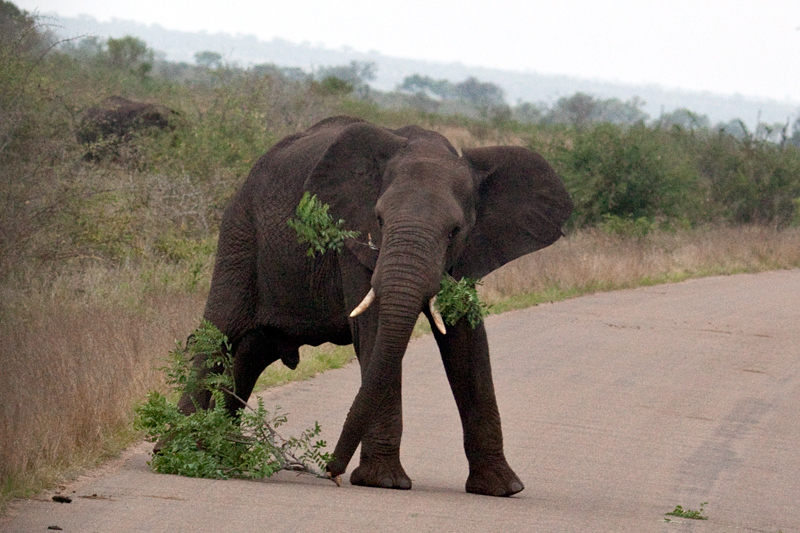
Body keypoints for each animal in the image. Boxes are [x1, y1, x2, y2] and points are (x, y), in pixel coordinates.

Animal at [177, 115, 572, 494]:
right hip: (240, 231)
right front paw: (383, 482)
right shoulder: (351, 240)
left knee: (251, 352)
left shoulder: (468, 255)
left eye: (455, 231)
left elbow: (468, 341)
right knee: (219, 332)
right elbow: (375, 328)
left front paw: (502, 489)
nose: (330, 471)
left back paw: (224, 454)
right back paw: (179, 451)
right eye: (379, 220)